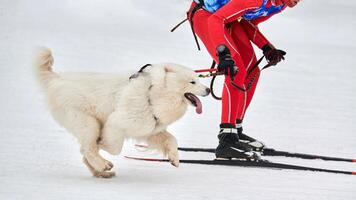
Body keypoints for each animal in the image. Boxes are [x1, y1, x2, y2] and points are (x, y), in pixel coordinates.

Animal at [33, 48, 210, 178]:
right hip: (87, 121)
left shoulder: (150, 129)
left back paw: (101, 172)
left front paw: (174, 158)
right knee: (87, 148)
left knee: (85, 151)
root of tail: (56, 79)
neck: (152, 94)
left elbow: (171, 139)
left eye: (198, 80)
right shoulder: (117, 122)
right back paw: (103, 165)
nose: (208, 89)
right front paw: (101, 144)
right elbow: (114, 147)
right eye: (193, 82)